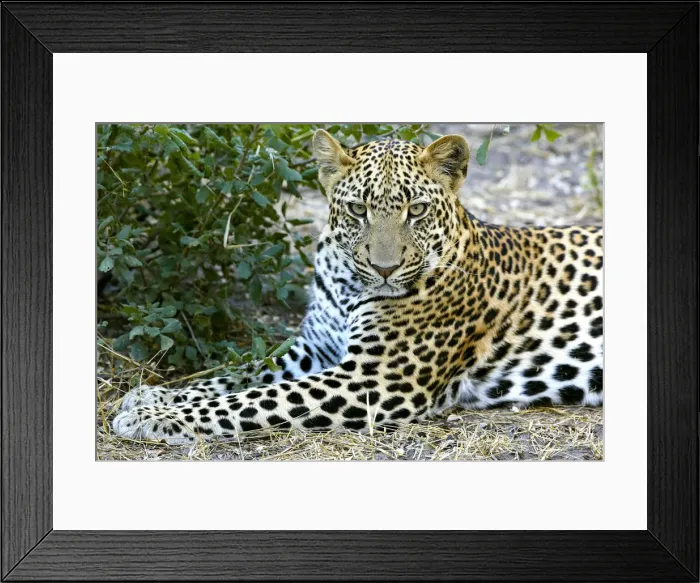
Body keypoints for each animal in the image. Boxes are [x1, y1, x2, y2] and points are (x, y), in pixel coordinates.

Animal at [113, 129, 603, 443]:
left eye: (417, 210)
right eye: (357, 209)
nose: (385, 269)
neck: (348, 284)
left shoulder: (376, 378)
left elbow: (251, 399)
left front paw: (153, 415)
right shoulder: (313, 348)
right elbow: (237, 375)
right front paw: (152, 394)